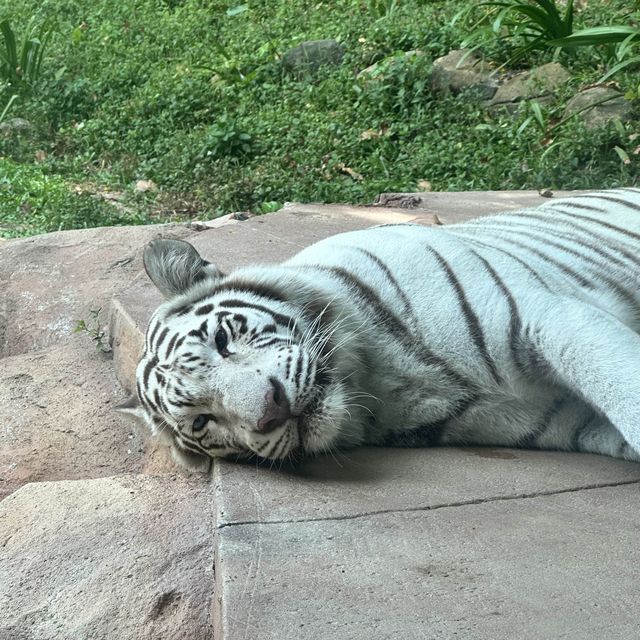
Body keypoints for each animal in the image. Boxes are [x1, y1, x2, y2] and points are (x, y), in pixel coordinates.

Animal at [122, 188, 640, 472]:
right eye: (202, 421)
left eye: (223, 340)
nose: (272, 411)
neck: (383, 381)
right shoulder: (564, 418)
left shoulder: (539, 314)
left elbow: (625, 394)